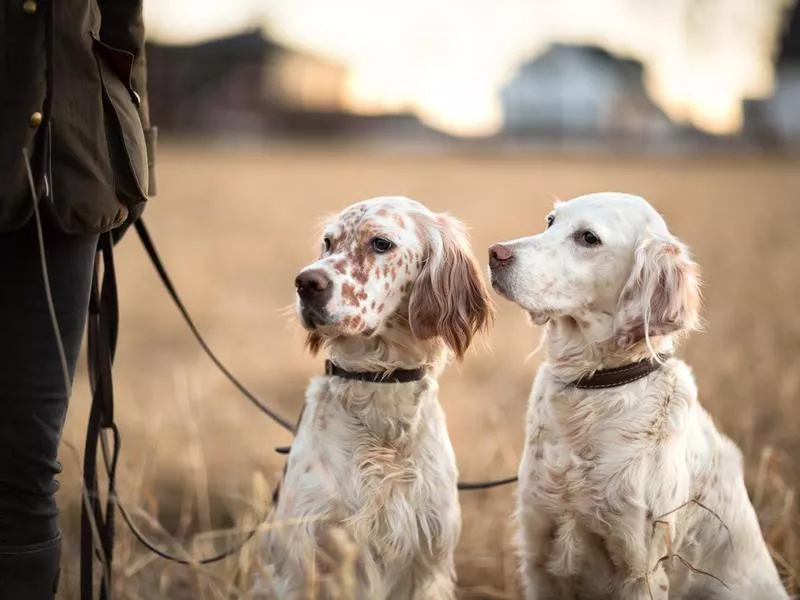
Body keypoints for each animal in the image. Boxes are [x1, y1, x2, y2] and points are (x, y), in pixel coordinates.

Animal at [488, 193, 788, 600]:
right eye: (550, 221)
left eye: (588, 238)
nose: (495, 253)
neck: (594, 388)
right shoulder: (539, 553)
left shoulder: (640, 568)